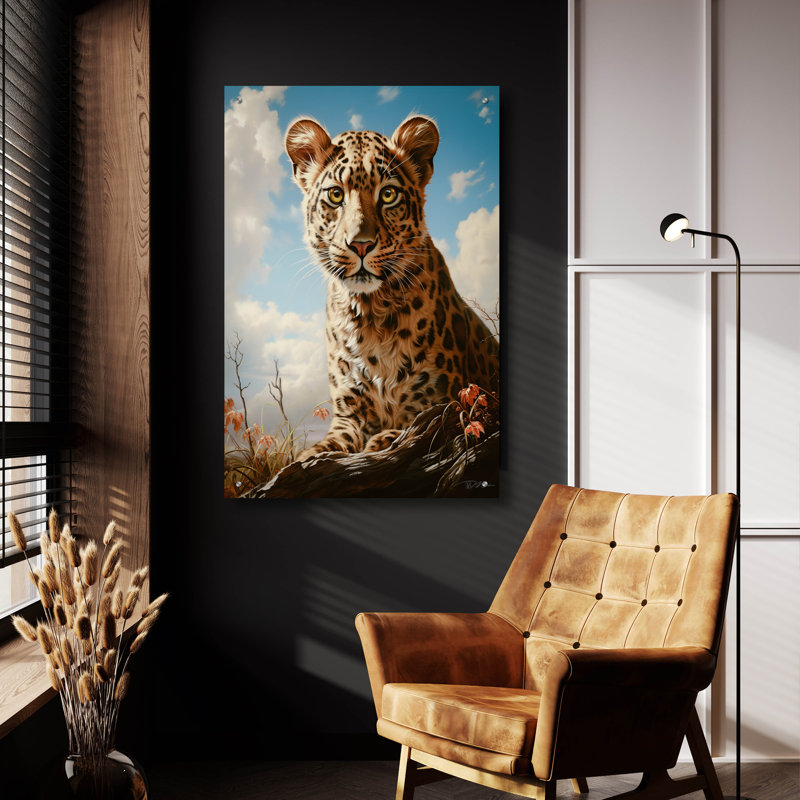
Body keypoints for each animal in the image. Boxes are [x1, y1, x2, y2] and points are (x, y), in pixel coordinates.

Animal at [285, 114, 499, 460]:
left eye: (388, 195)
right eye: (335, 195)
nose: (360, 244)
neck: (370, 315)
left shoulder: (441, 404)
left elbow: (410, 427)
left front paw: (383, 441)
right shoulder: (348, 415)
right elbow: (328, 445)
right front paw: (308, 457)